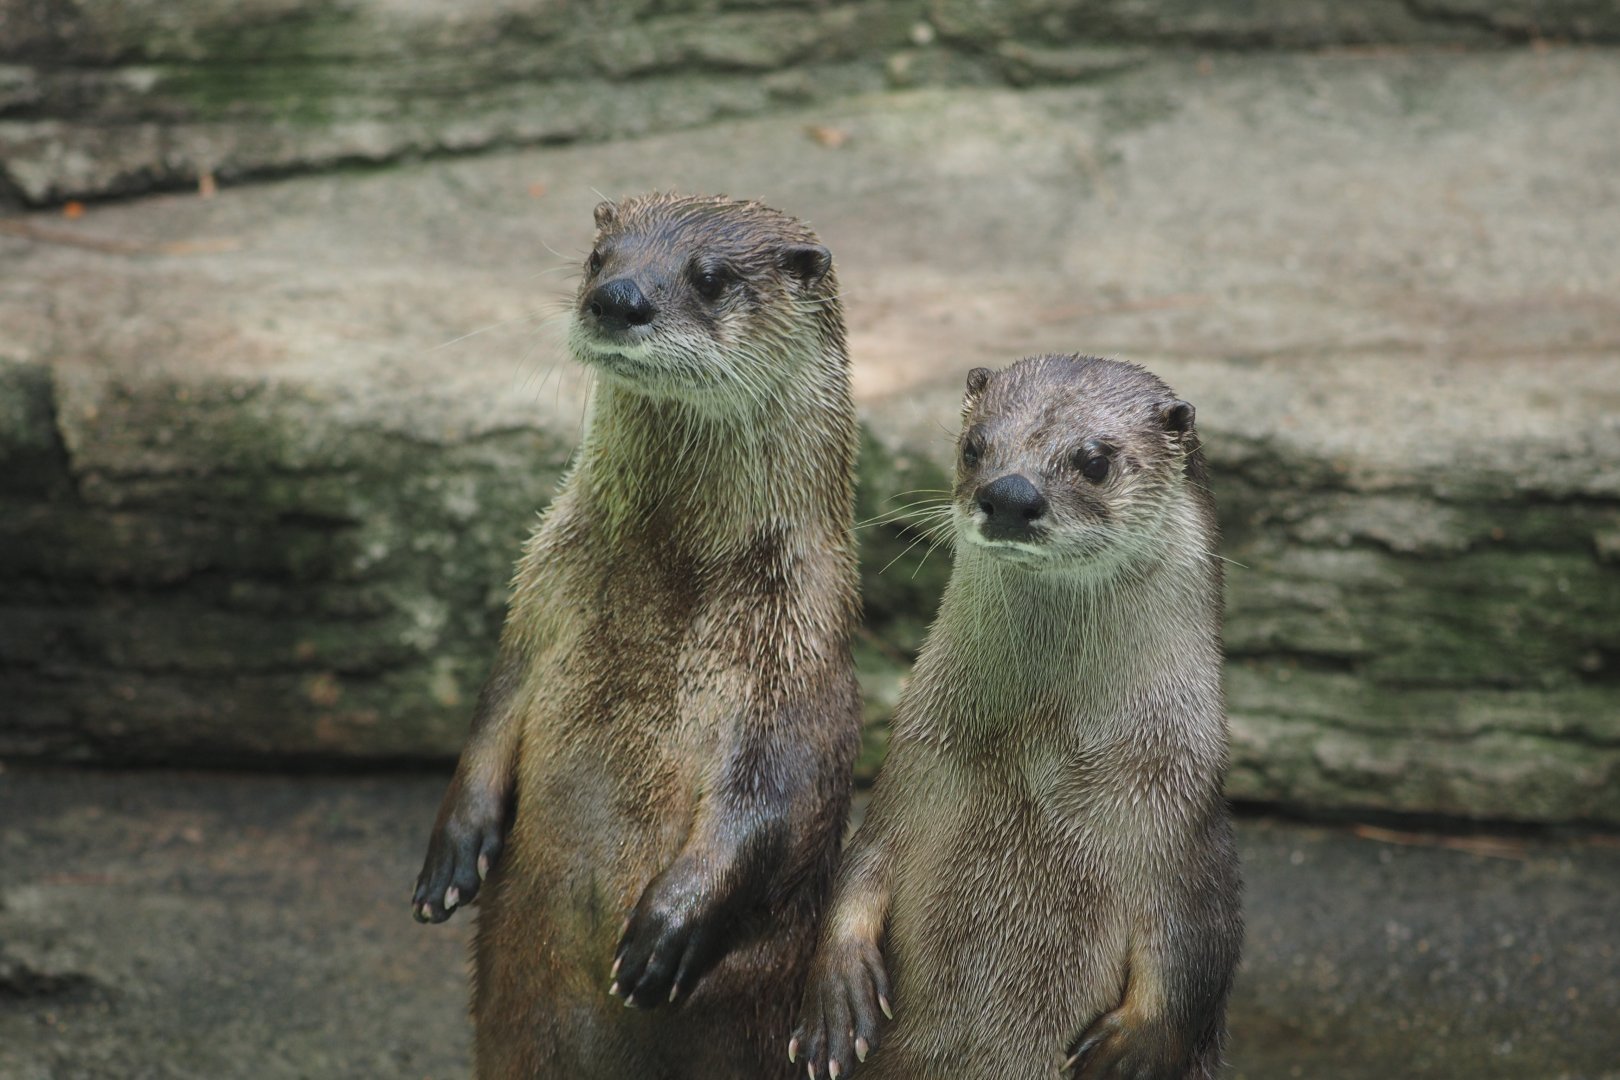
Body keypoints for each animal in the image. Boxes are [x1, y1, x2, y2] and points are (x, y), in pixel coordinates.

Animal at [411, 193, 862, 1079]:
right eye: (599, 256)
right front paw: (452, 850)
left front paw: (665, 933)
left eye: (711, 277)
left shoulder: (800, 644)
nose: (618, 297)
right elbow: (494, 704)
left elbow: (773, 797)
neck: (673, 565)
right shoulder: (542, 585)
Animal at [791, 355, 1242, 1080]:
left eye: (1094, 461)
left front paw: (1127, 1056)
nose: (1009, 494)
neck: (1041, 760)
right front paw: (836, 996)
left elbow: (1195, 964)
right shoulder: (910, 784)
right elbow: (856, 871)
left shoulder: (1186, 836)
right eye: (974, 447)